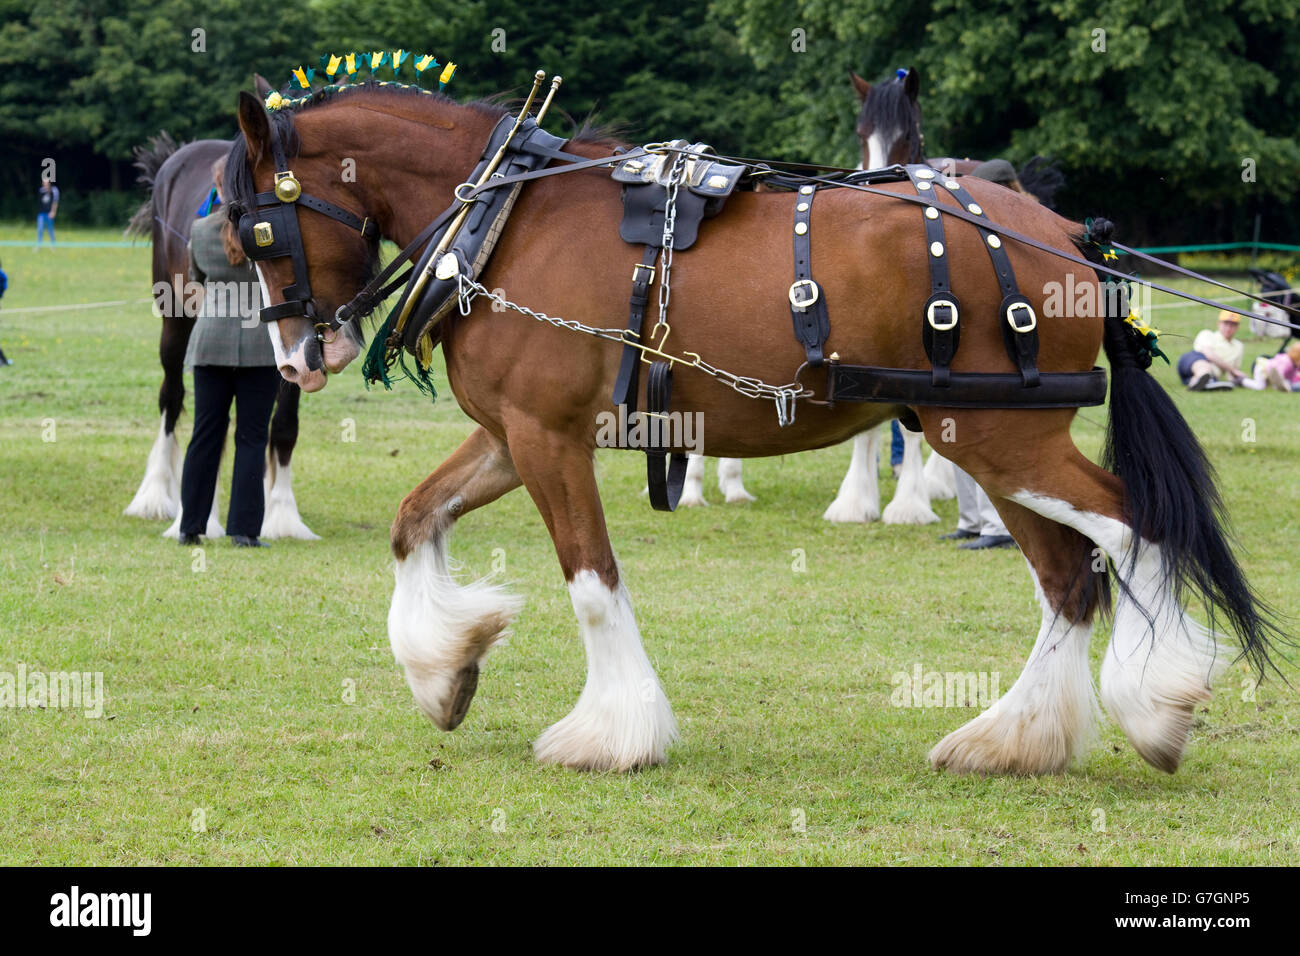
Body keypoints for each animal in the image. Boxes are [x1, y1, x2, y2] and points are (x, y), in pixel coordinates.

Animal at [225, 80, 1282, 775]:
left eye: (258, 231)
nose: (298, 359)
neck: (508, 214)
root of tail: (1066, 237)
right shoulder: (510, 435)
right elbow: (415, 520)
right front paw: (444, 672)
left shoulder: (547, 438)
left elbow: (593, 584)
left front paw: (611, 733)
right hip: (993, 439)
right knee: (1069, 578)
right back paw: (1014, 740)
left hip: (997, 438)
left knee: (1131, 529)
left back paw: (1151, 709)